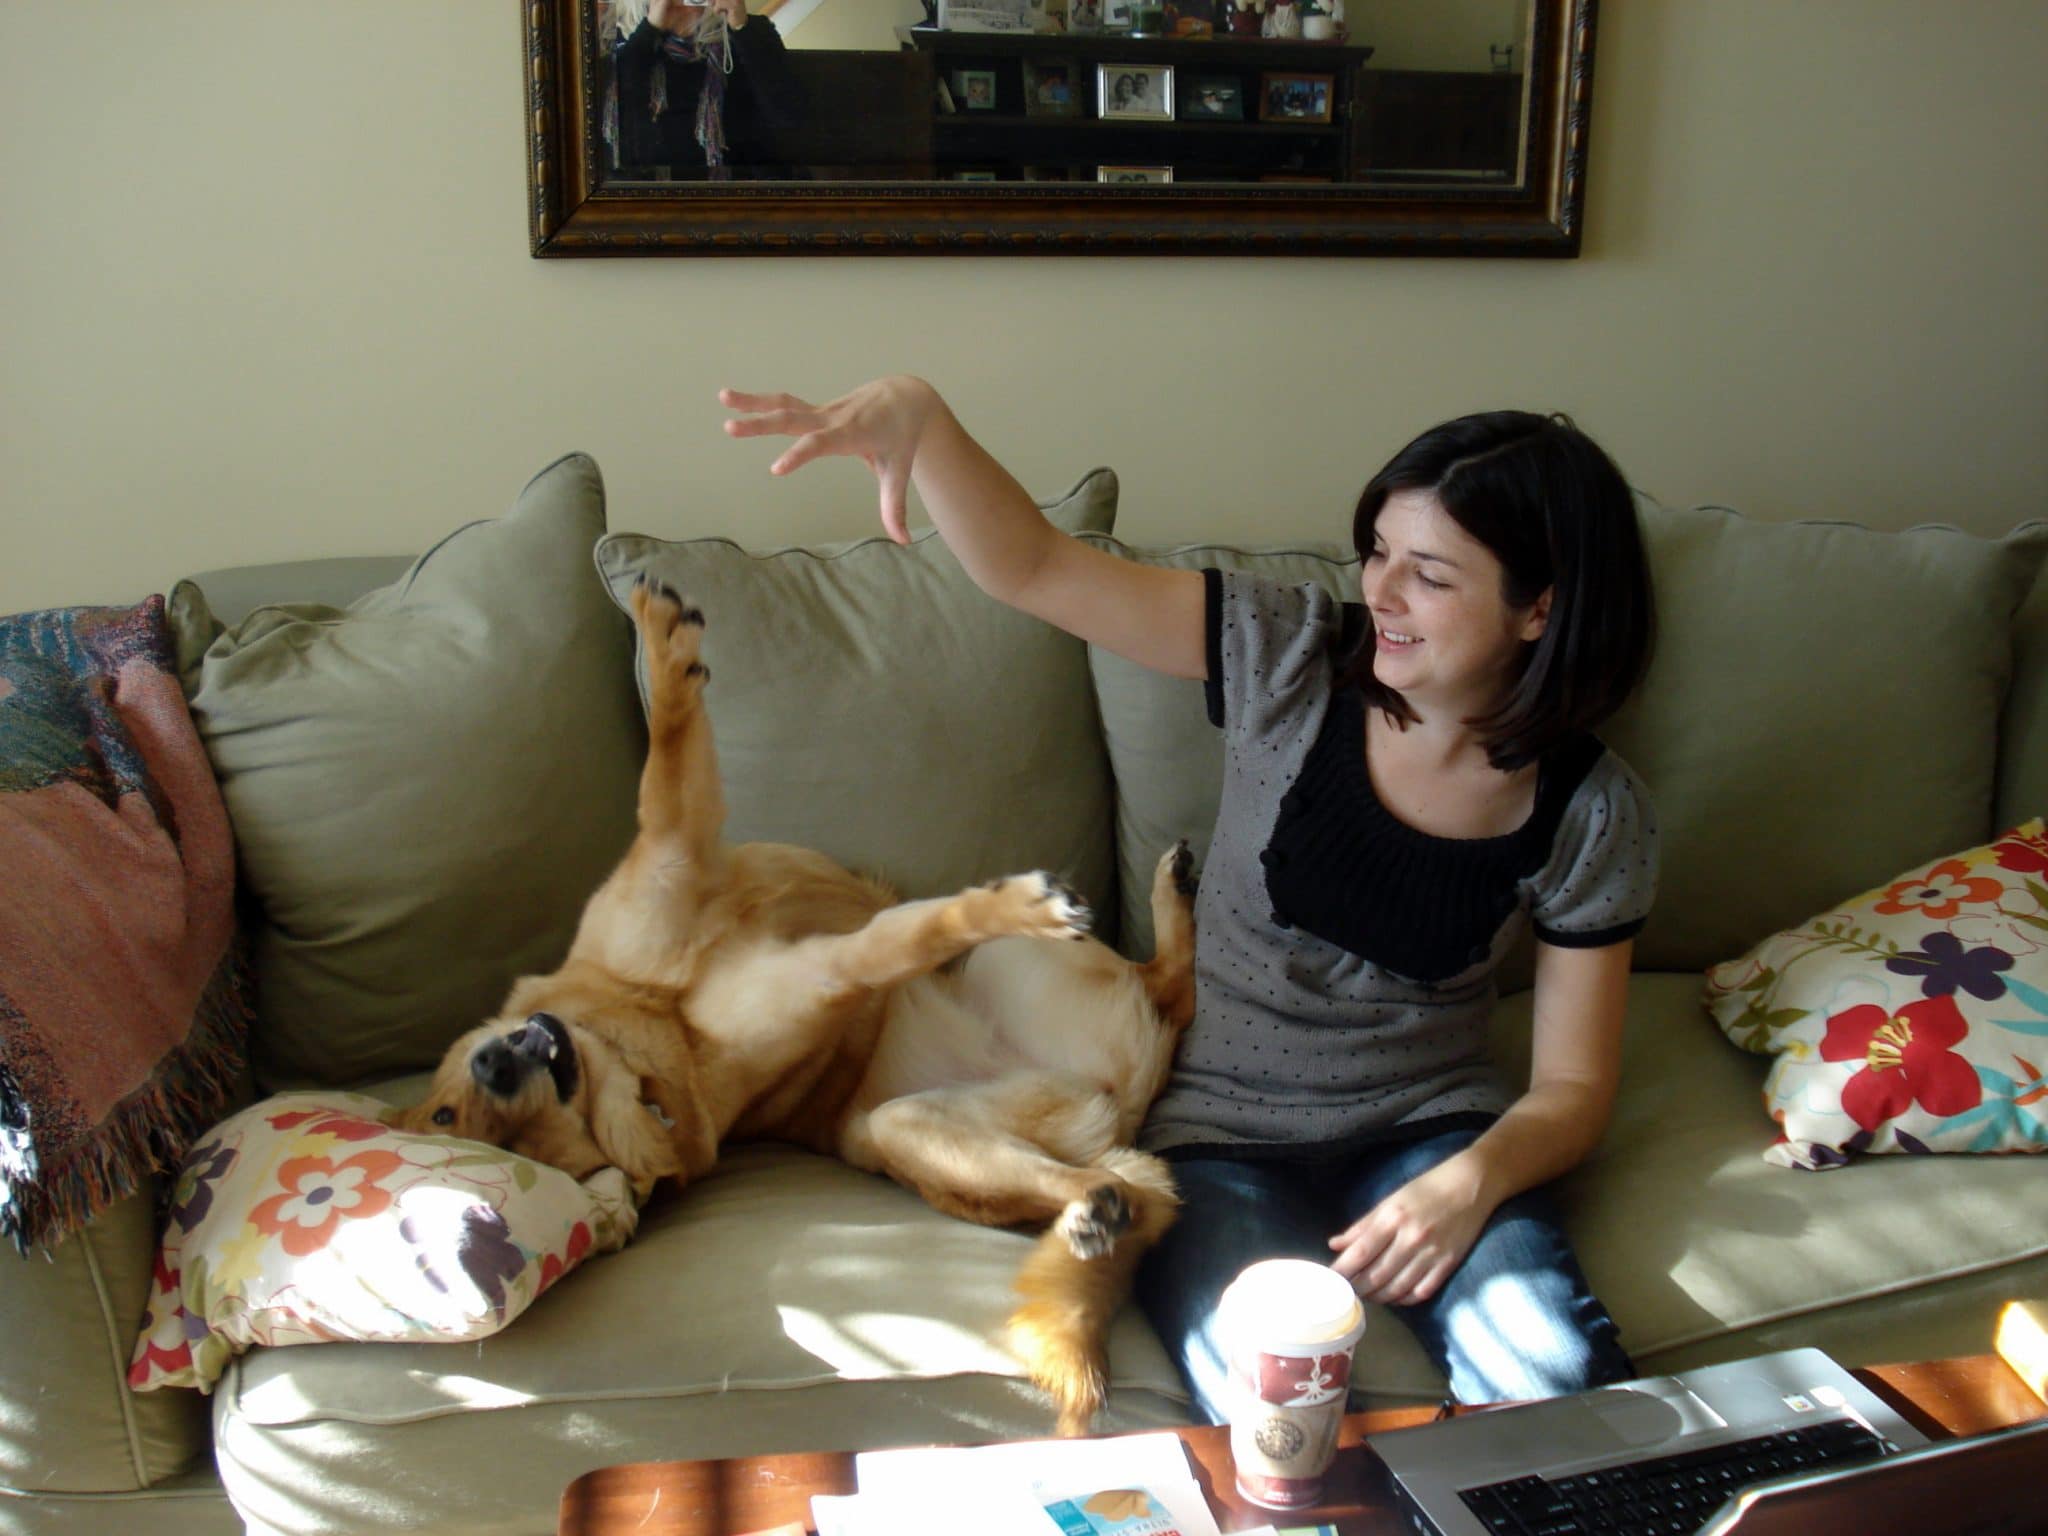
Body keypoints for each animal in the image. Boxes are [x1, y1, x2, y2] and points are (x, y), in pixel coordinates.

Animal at [395, 581, 1196, 1441]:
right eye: (504, 1141)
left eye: (445, 1112)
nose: (495, 1063)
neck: (653, 1036)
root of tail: (1123, 1107)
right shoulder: (812, 958)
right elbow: (909, 932)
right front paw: (1012, 902)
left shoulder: (674, 854)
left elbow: (665, 754)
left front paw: (660, 641)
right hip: (920, 1110)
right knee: (1154, 1064)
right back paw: (1093, 1203)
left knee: (1166, 1016)